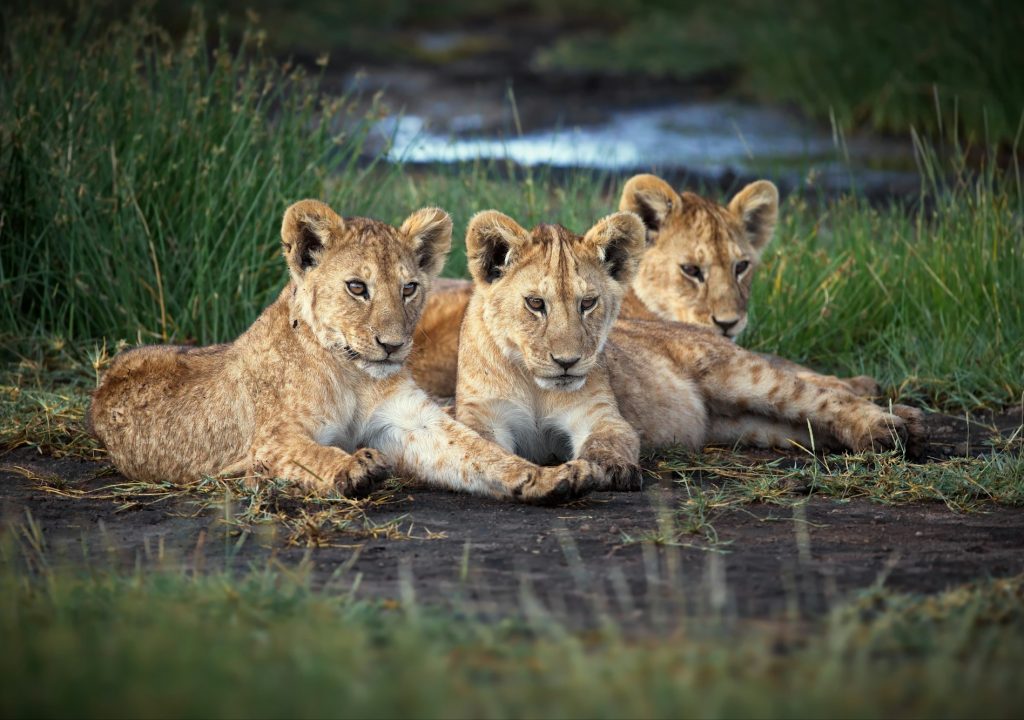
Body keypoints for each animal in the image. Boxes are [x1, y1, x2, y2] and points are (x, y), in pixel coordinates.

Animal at [88, 200, 595, 503]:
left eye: (409, 288)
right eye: (356, 287)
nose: (392, 346)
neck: (352, 373)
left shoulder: (411, 421)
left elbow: (479, 452)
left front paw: (543, 477)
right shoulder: (269, 441)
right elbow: (312, 455)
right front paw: (355, 468)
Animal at [453, 210, 924, 469]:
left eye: (588, 303)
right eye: (535, 303)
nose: (567, 362)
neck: (534, 383)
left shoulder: (598, 413)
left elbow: (607, 439)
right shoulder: (482, 418)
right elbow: (481, 447)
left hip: (741, 376)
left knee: (823, 397)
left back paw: (890, 428)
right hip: (747, 423)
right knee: (806, 422)